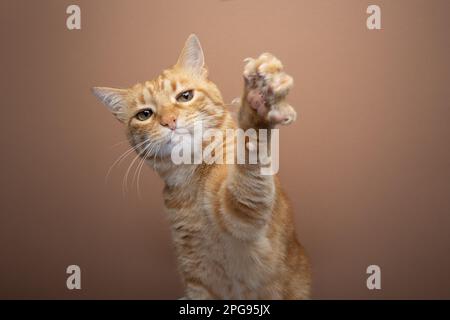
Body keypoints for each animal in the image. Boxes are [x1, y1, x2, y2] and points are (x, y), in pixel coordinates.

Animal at [91, 33, 310, 298]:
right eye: (145, 114)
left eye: (185, 96)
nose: (169, 121)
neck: (191, 179)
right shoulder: (195, 274)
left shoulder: (243, 214)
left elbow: (250, 162)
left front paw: (256, 103)